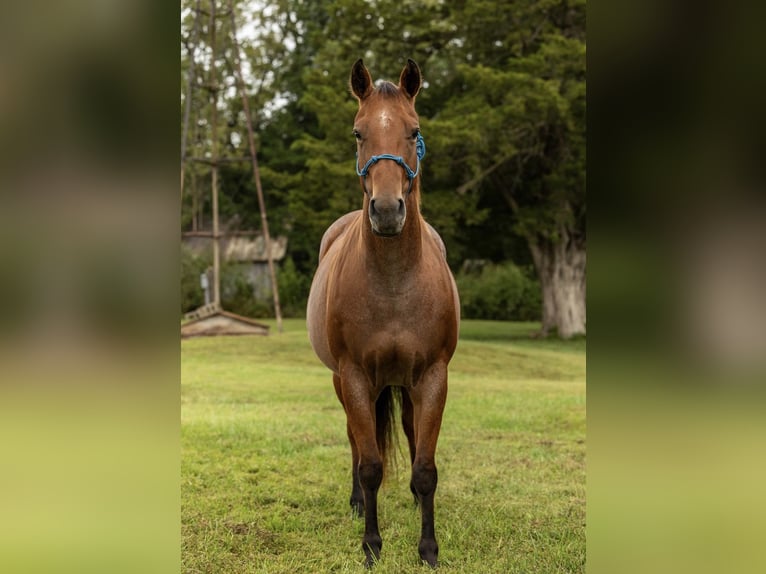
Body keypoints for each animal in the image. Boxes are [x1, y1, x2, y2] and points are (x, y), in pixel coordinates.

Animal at [306, 59, 460, 568]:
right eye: (359, 133)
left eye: (414, 131)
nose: (388, 211)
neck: (394, 282)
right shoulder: (355, 375)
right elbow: (371, 463)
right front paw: (372, 545)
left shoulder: (432, 377)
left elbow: (426, 467)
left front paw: (428, 548)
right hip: (345, 381)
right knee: (358, 442)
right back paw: (357, 502)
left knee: (410, 433)